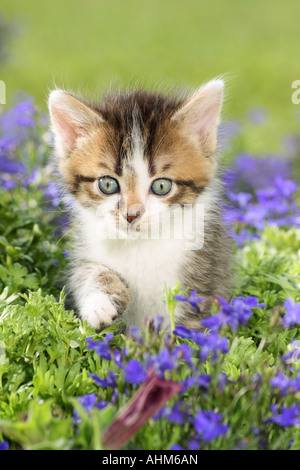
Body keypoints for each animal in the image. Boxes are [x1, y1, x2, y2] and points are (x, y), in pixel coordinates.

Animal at [48, 80, 232, 330]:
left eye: (162, 186)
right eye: (107, 184)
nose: (131, 214)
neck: (140, 244)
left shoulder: (205, 272)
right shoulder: (87, 249)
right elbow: (85, 272)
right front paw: (100, 302)